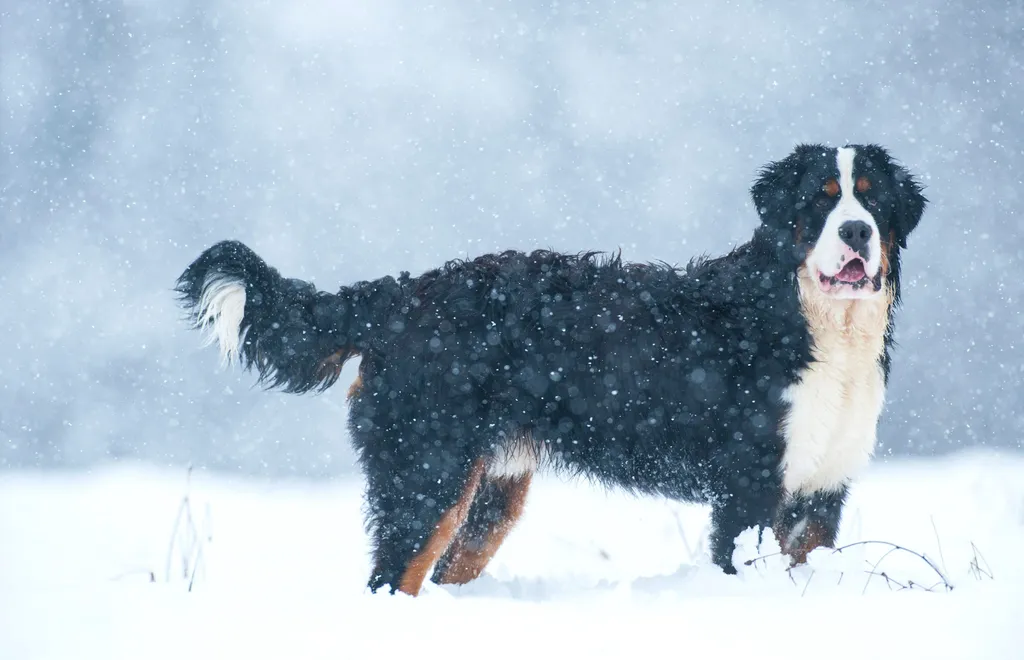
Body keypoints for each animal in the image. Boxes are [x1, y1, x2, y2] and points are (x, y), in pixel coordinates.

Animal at [176, 141, 929, 593]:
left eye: (871, 199)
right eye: (819, 200)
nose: (856, 232)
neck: (817, 324)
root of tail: (403, 293)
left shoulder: (821, 491)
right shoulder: (746, 486)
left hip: (489, 497)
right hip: (426, 472)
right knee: (392, 573)